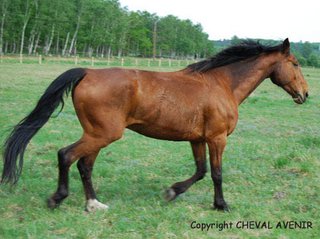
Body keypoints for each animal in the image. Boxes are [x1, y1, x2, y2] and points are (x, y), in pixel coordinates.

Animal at [1, 38, 308, 211]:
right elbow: (217, 174)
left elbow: (200, 171)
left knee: (84, 166)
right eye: (294, 63)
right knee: (66, 155)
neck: (222, 84)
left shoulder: (197, 138)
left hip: (96, 134)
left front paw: (172, 192)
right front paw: (221, 206)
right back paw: (57, 199)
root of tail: (87, 71)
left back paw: (94, 204)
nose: (305, 94)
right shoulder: (217, 138)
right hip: (103, 134)